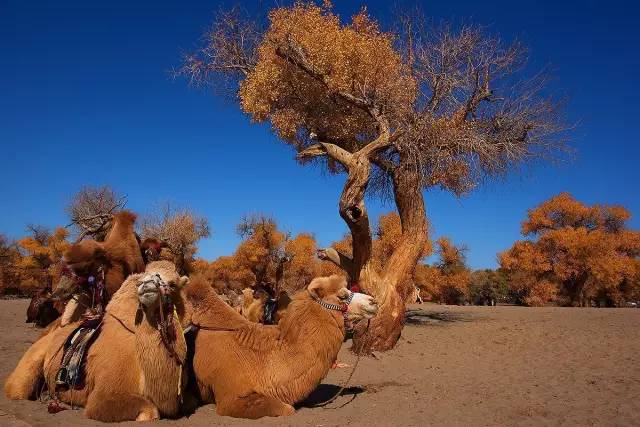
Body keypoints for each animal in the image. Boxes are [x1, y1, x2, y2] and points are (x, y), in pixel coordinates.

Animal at [5, 262, 190, 422]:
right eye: (141, 280)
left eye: (173, 284)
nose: (147, 285)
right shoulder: (102, 396)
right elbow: (149, 411)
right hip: (31, 361)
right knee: (17, 389)